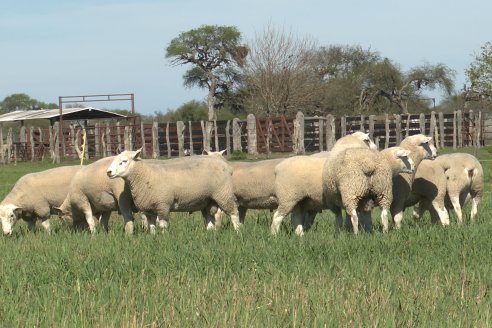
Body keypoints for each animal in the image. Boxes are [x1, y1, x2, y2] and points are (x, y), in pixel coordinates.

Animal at [106, 148, 242, 231]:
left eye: (124, 161)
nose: (108, 172)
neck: (145, 174)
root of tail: (226, 166)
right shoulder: (148, 208)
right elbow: (151, 226)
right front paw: (153, 237)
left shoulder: (163, 204)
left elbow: (162, 225)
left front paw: (163, 238)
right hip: (207, 199)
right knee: (208, 216)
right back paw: (210, 231)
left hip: (223, 194)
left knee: (234, 213)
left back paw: (238, 231)